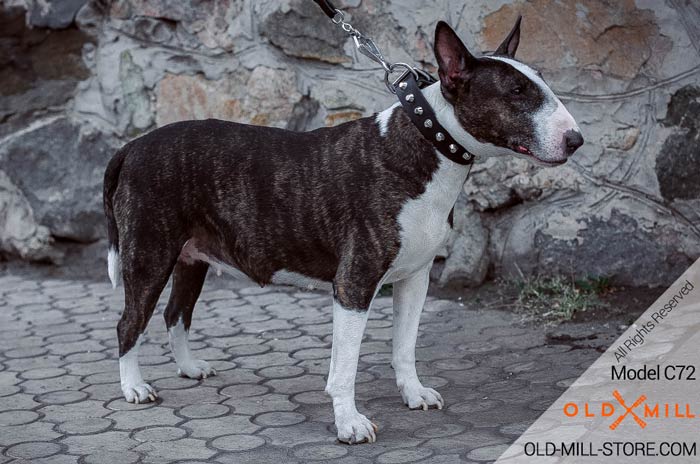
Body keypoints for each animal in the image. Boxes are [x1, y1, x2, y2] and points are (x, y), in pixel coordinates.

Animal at [104, 20, 584, 444]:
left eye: (540, 82)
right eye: (516, 93)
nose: (576, 140)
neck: (427, 143)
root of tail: (132, 146)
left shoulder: (416, 276)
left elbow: (404, 346)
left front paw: (413, 394)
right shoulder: (354, 284)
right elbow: (345, 367)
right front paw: (349, 424)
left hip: (192, 256)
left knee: (175, 313)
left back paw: (188, 367)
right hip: (150, 254)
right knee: (130, 322)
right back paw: (133, 387)